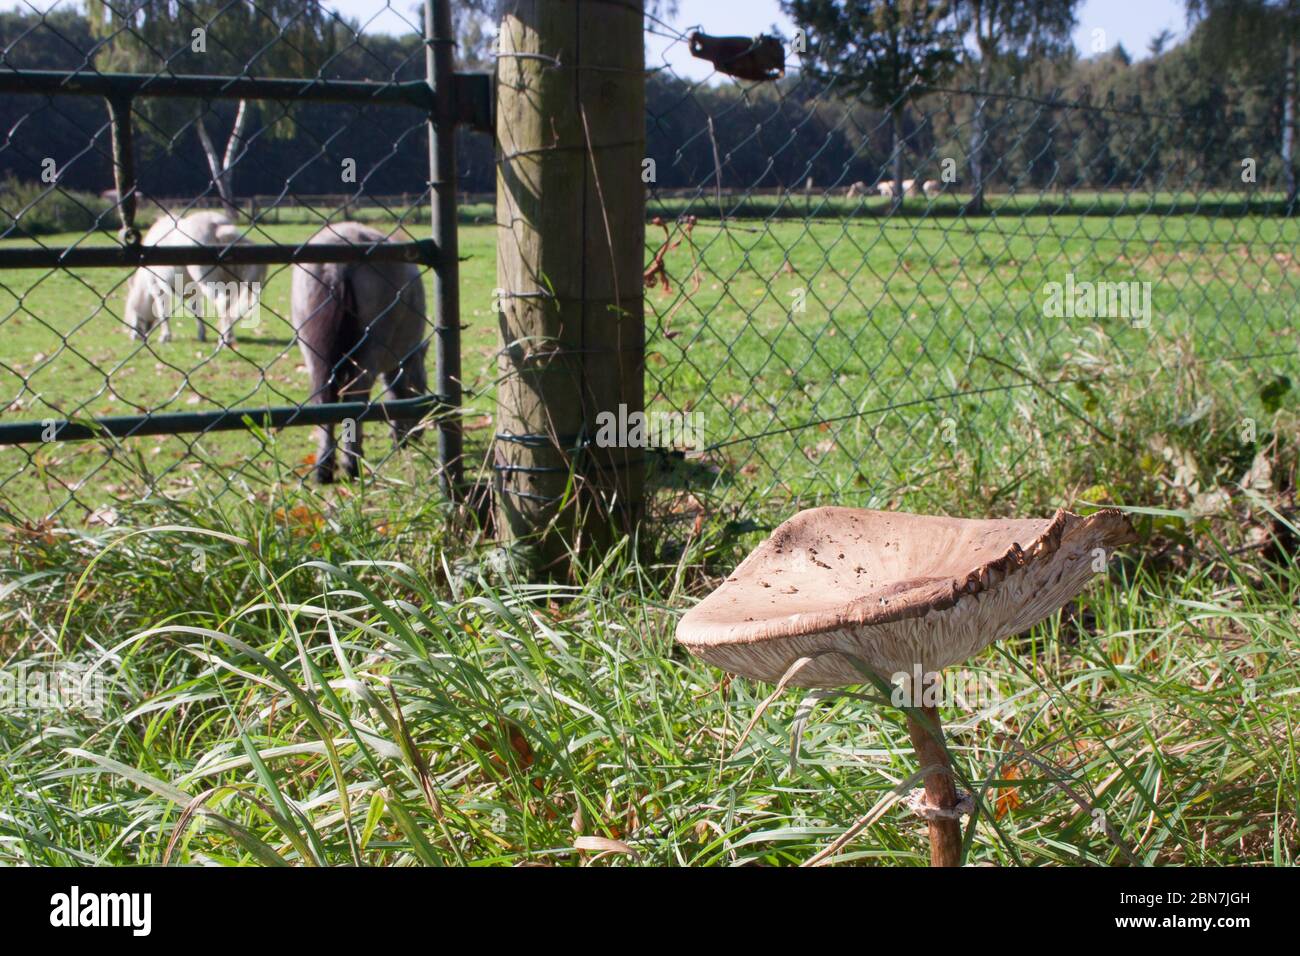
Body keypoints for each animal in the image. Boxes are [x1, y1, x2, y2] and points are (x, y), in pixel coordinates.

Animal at [124, 210, 266, 345]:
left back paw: (226, 339)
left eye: (131, 310)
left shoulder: (157, 288)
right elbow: (196, 311)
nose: (133, 337)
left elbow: (162, 313)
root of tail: (218, 227)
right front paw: (201, 335)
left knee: (222, 302)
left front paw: (165, 337)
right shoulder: (193, 292)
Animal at [291, 221, 428, 481]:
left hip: (314, 354)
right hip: (368, 352)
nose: (418, 434)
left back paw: (323, 468)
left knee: (325, 400)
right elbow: (396, 392)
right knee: (356, 399)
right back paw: (351, 464)